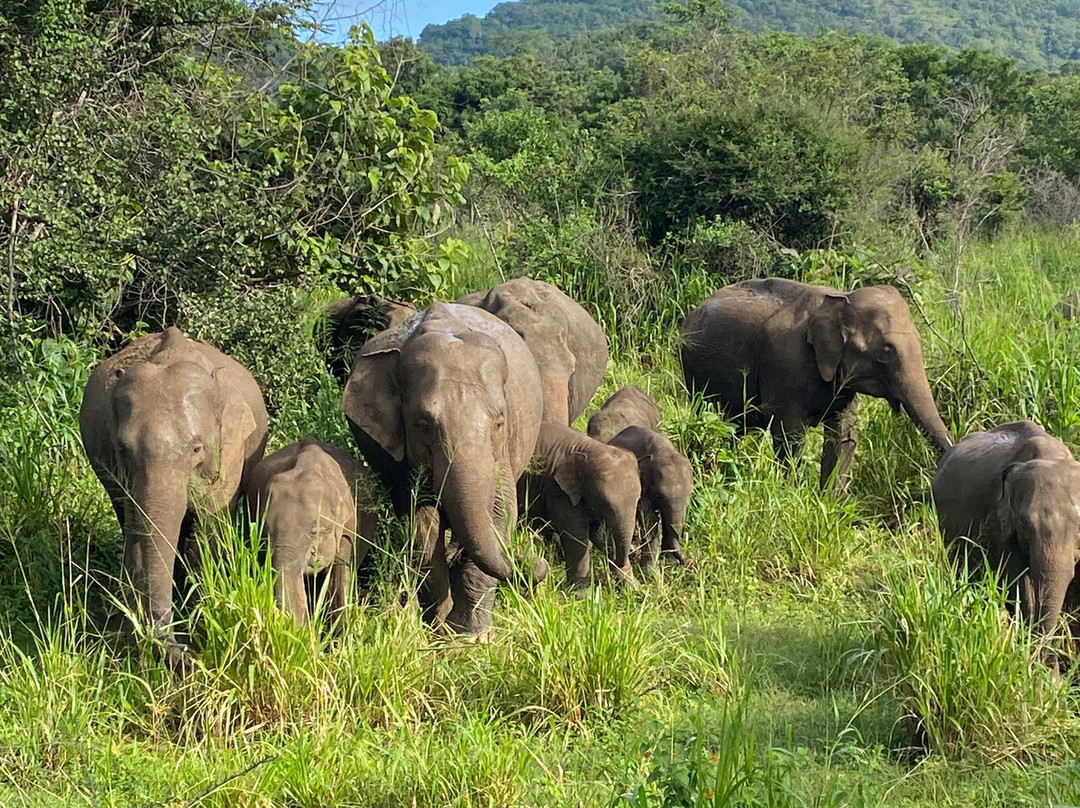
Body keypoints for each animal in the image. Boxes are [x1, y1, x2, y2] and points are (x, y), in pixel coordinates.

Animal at [80, 327, 268, 668]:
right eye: (123, 448)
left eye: (196, 448)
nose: (180, 651)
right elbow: (137, 529)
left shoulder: (230, 454)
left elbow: (208, 530)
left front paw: (202, 627)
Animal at [342, 302, 548, 637]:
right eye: (422, 425)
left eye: (499, 422)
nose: (536, 563)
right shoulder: (401, 460)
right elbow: (422, 520)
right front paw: (439, 625)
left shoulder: (502, 451)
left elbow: (501, 511)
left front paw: (472, 635)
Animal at [519, 422, 639, 595]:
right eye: (605, 503)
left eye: (638, 499)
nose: (634, 551)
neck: (589, 448)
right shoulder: (558, 492)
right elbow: (576, 537)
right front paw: (582, 596)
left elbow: (600, 535)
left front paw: (633, 588)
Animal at [608, 426, 694, 571]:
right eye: (660, 495)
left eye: (689, 495)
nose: (685, 562)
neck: (664, 450)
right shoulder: (642, 486)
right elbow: (650, 520)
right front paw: (650, 571)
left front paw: (669, 563)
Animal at [680, 278, 952, 488]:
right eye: (886, 351)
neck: (841, 298)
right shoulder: (784, 363)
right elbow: (790, 435)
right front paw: (791, 494)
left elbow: (844, 435)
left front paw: (831, 504)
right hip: (691, 369)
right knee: (704, 414)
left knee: (734, 428)